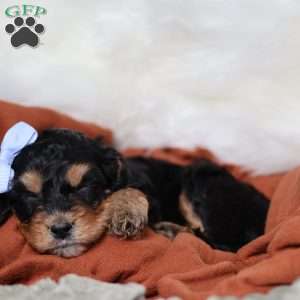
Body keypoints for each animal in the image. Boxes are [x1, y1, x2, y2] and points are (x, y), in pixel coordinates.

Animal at [0, 127, 270, 256]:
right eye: (29, 195)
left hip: (204, 180)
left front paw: (125, 213)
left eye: (85, 186)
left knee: (226, 246)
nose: (60, 229)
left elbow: (129, 190)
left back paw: (172, 231)